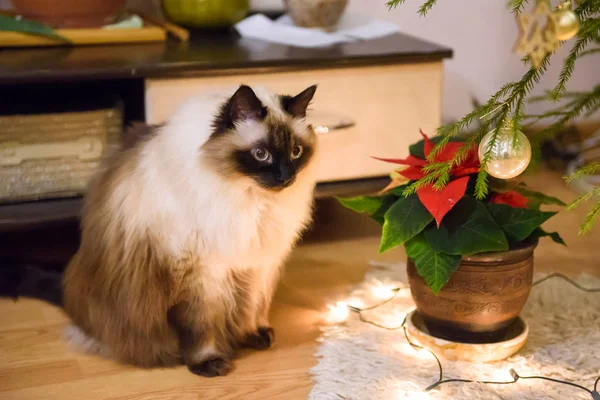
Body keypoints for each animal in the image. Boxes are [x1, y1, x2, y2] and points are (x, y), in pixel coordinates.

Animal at [1, 83, 318, 376]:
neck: (251, 200)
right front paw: (208, 363)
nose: (286, 177)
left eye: (296, 152)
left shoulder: (256, 263)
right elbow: (202, 325)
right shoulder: (202, 273)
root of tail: (69, 294)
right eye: (261, 154)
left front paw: (252, 335)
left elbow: (249, 308)